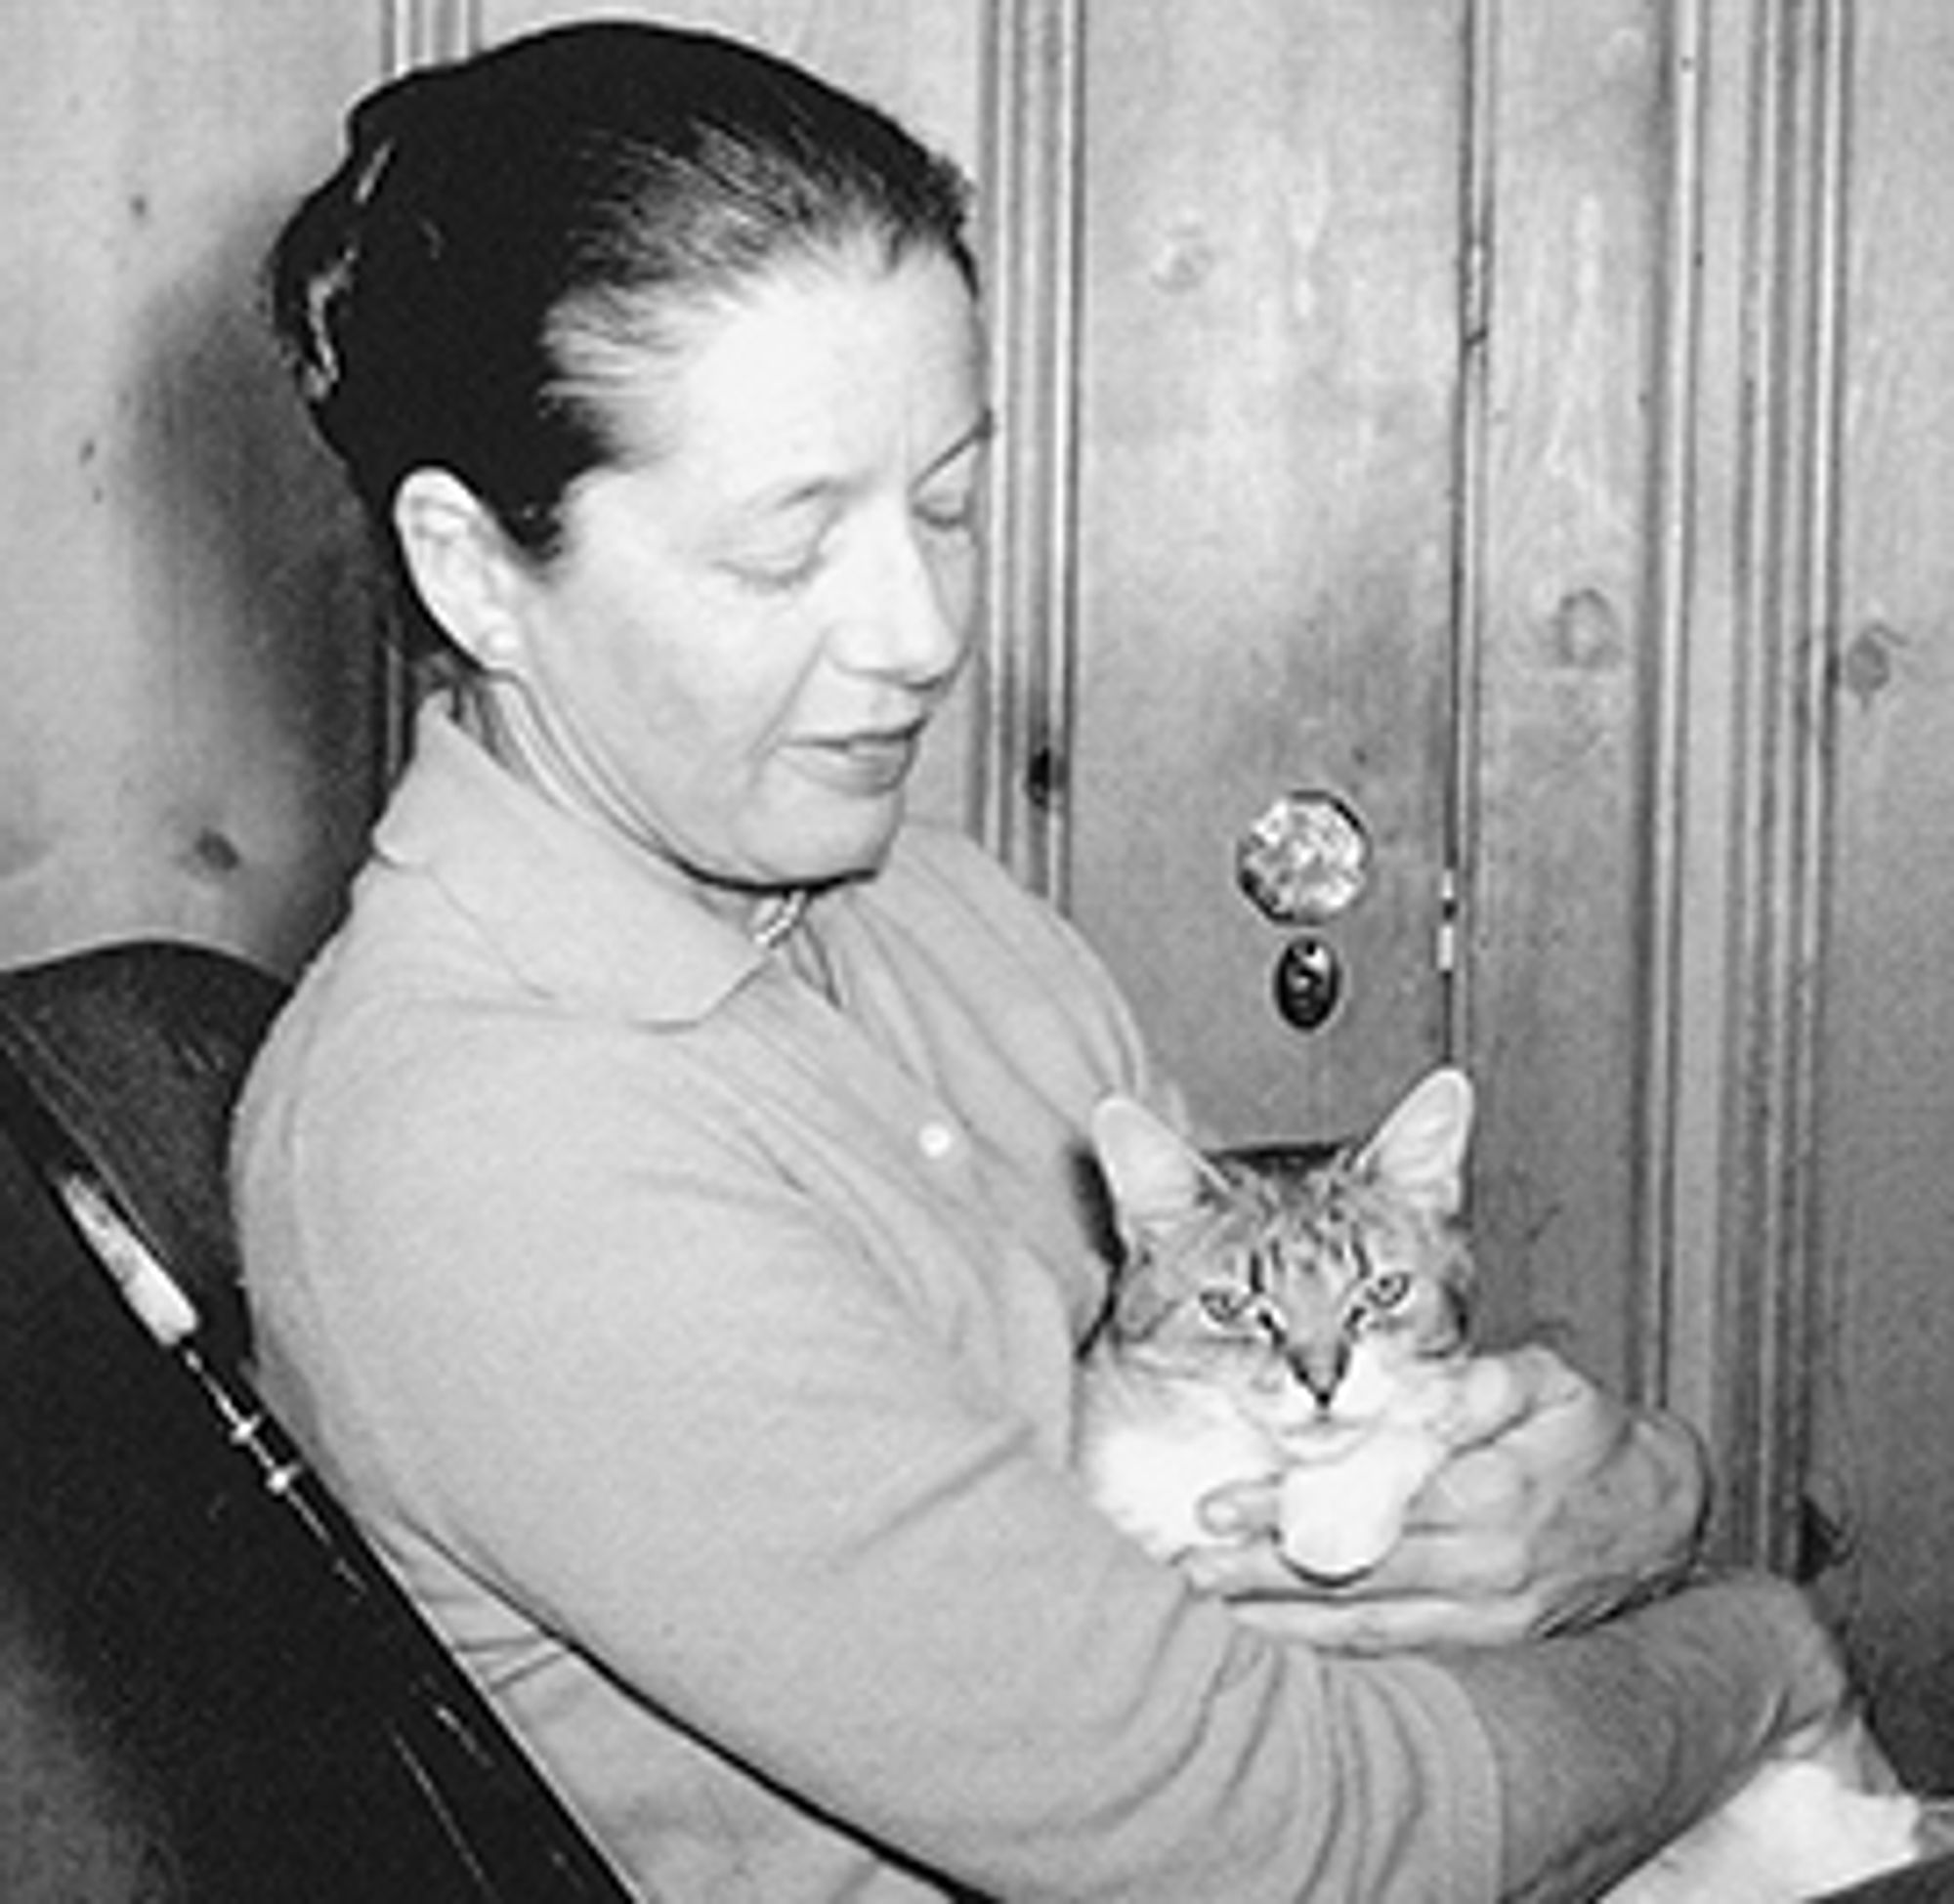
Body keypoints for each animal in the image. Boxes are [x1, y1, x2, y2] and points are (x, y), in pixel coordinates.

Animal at [1079, 1071, 1931, 1904]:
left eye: (1383, 1290)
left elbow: (1419, 1412)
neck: (1238, 1453)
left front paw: (1332, 1515)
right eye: (1231, 1304)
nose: (1321, 1382)